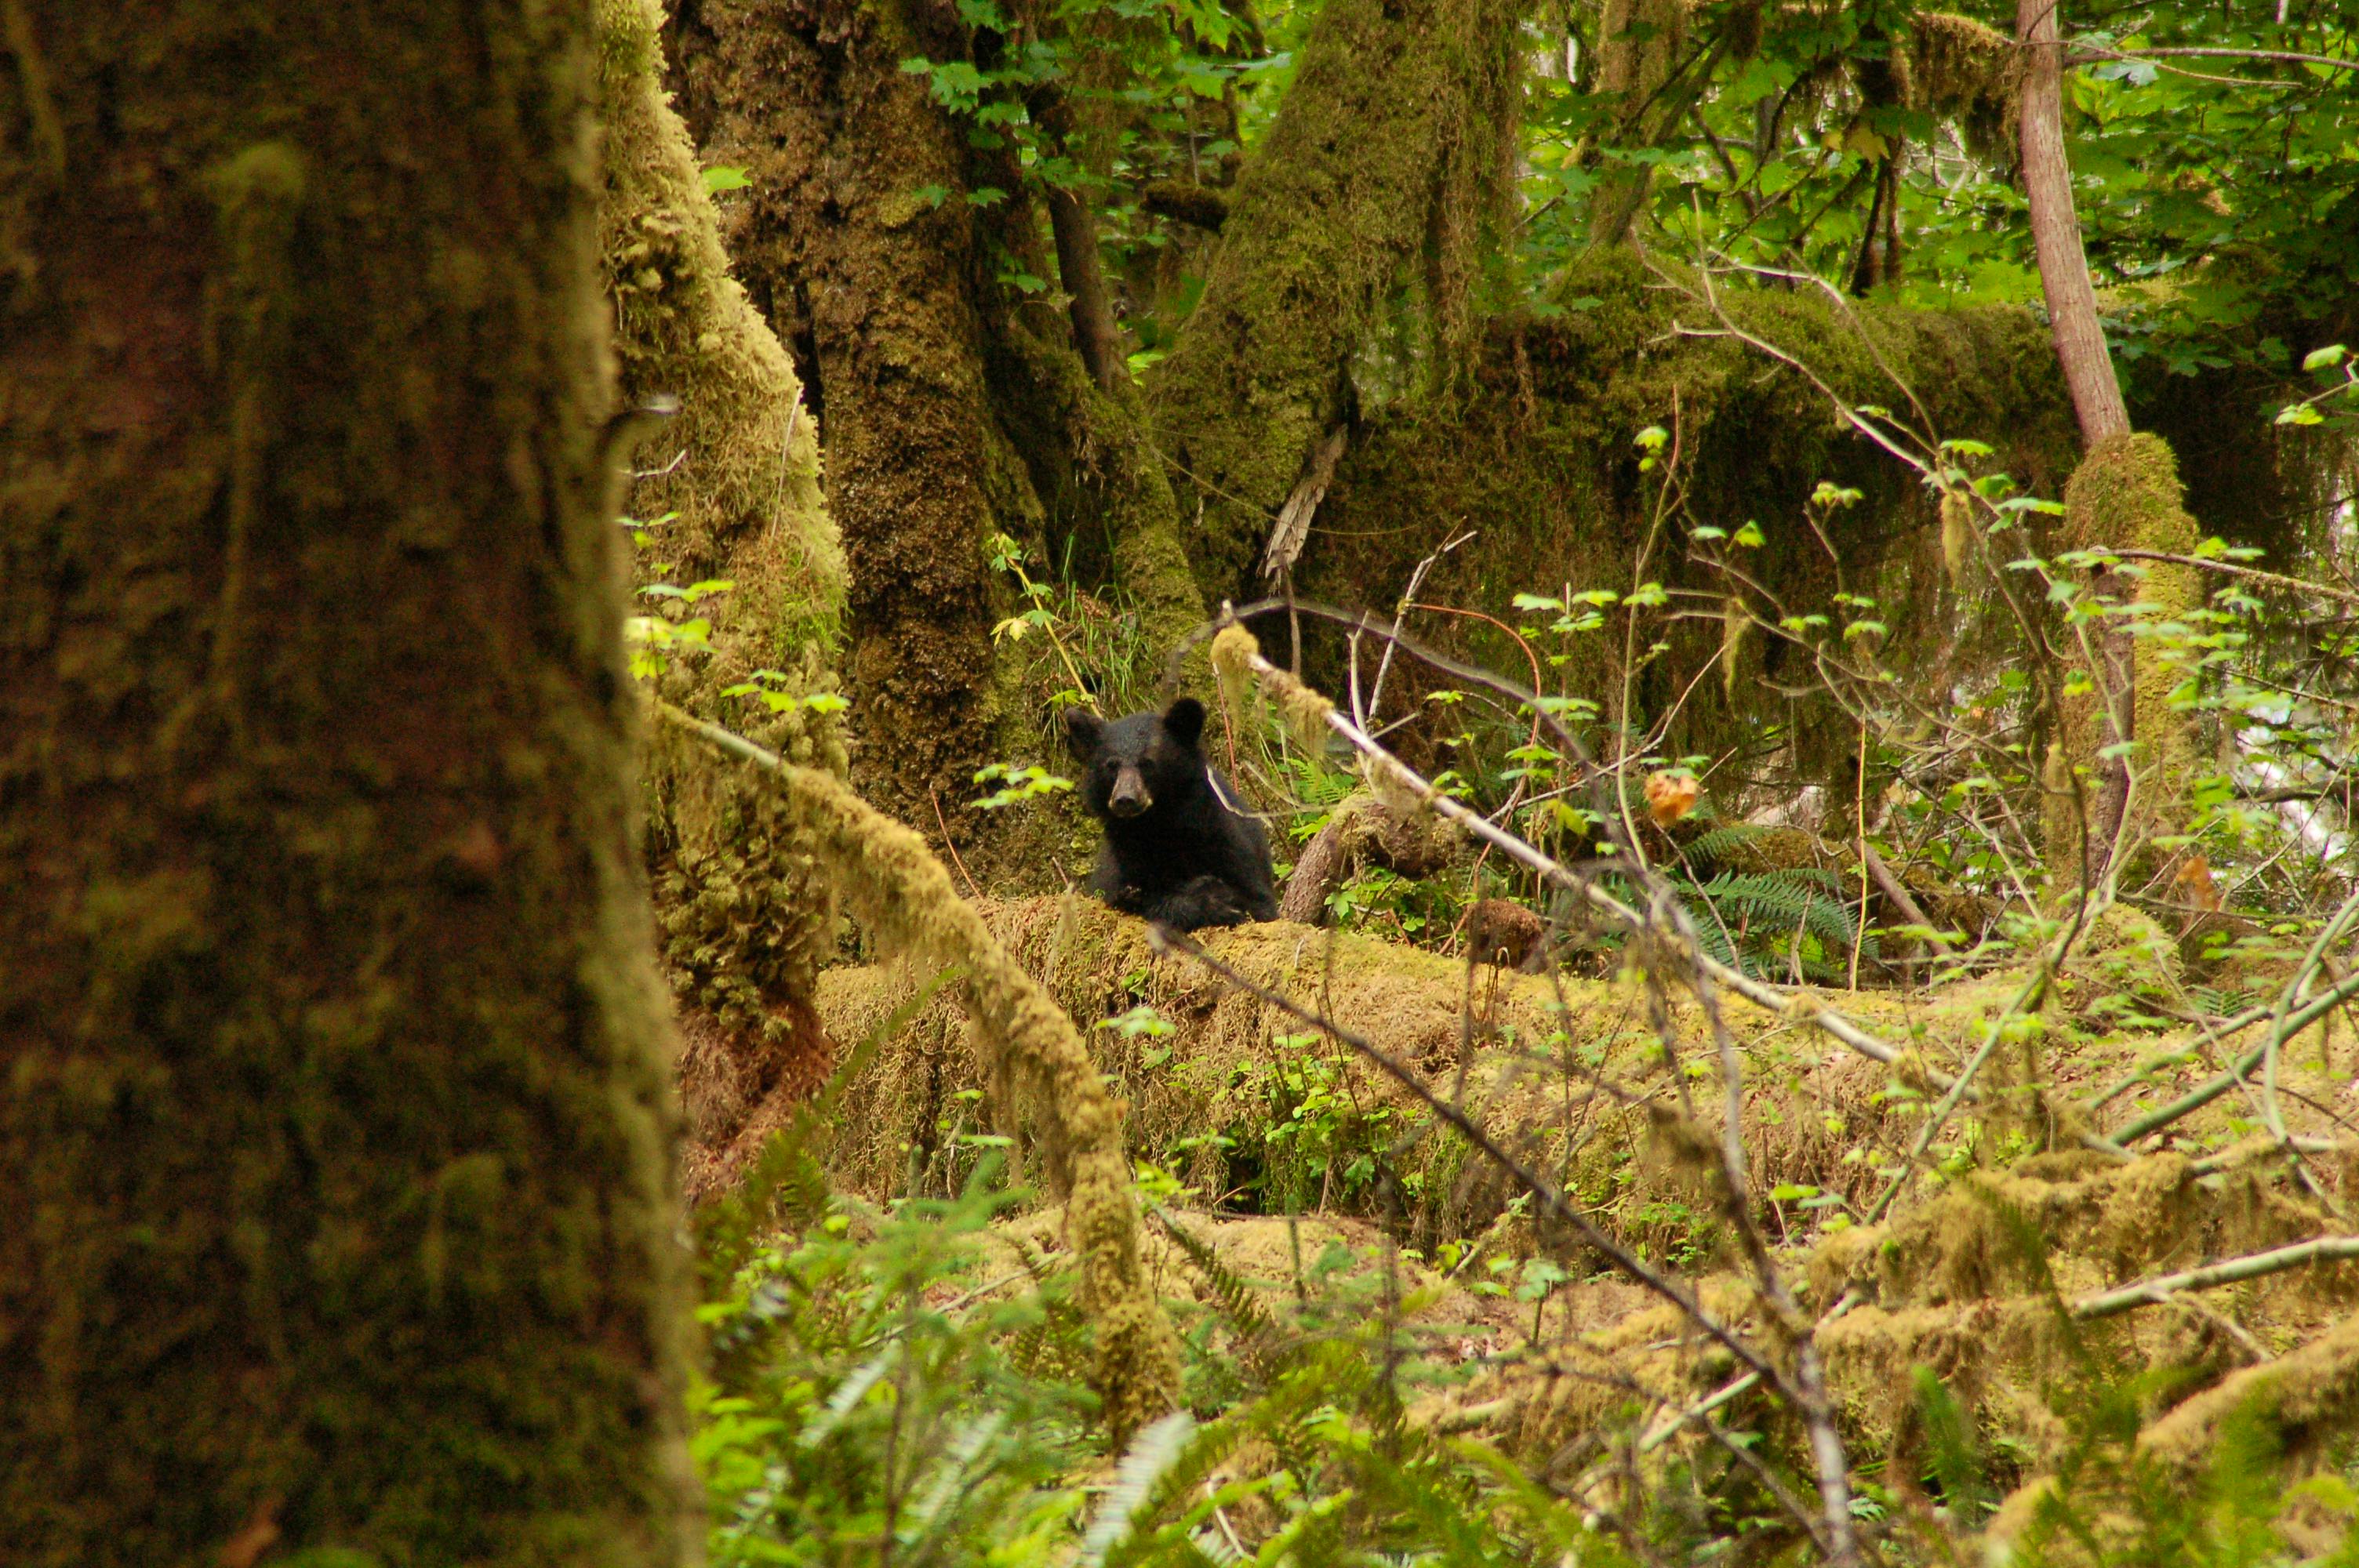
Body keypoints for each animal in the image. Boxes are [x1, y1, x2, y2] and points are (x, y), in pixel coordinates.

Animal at [1064, 696, 1277, 931]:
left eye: (1147, 763)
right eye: (1111, 765)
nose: (1125, 799)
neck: (1158, 823)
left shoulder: (1221, 838)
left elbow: (1257, 900)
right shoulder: (1122, 859)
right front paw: (1209, 901)